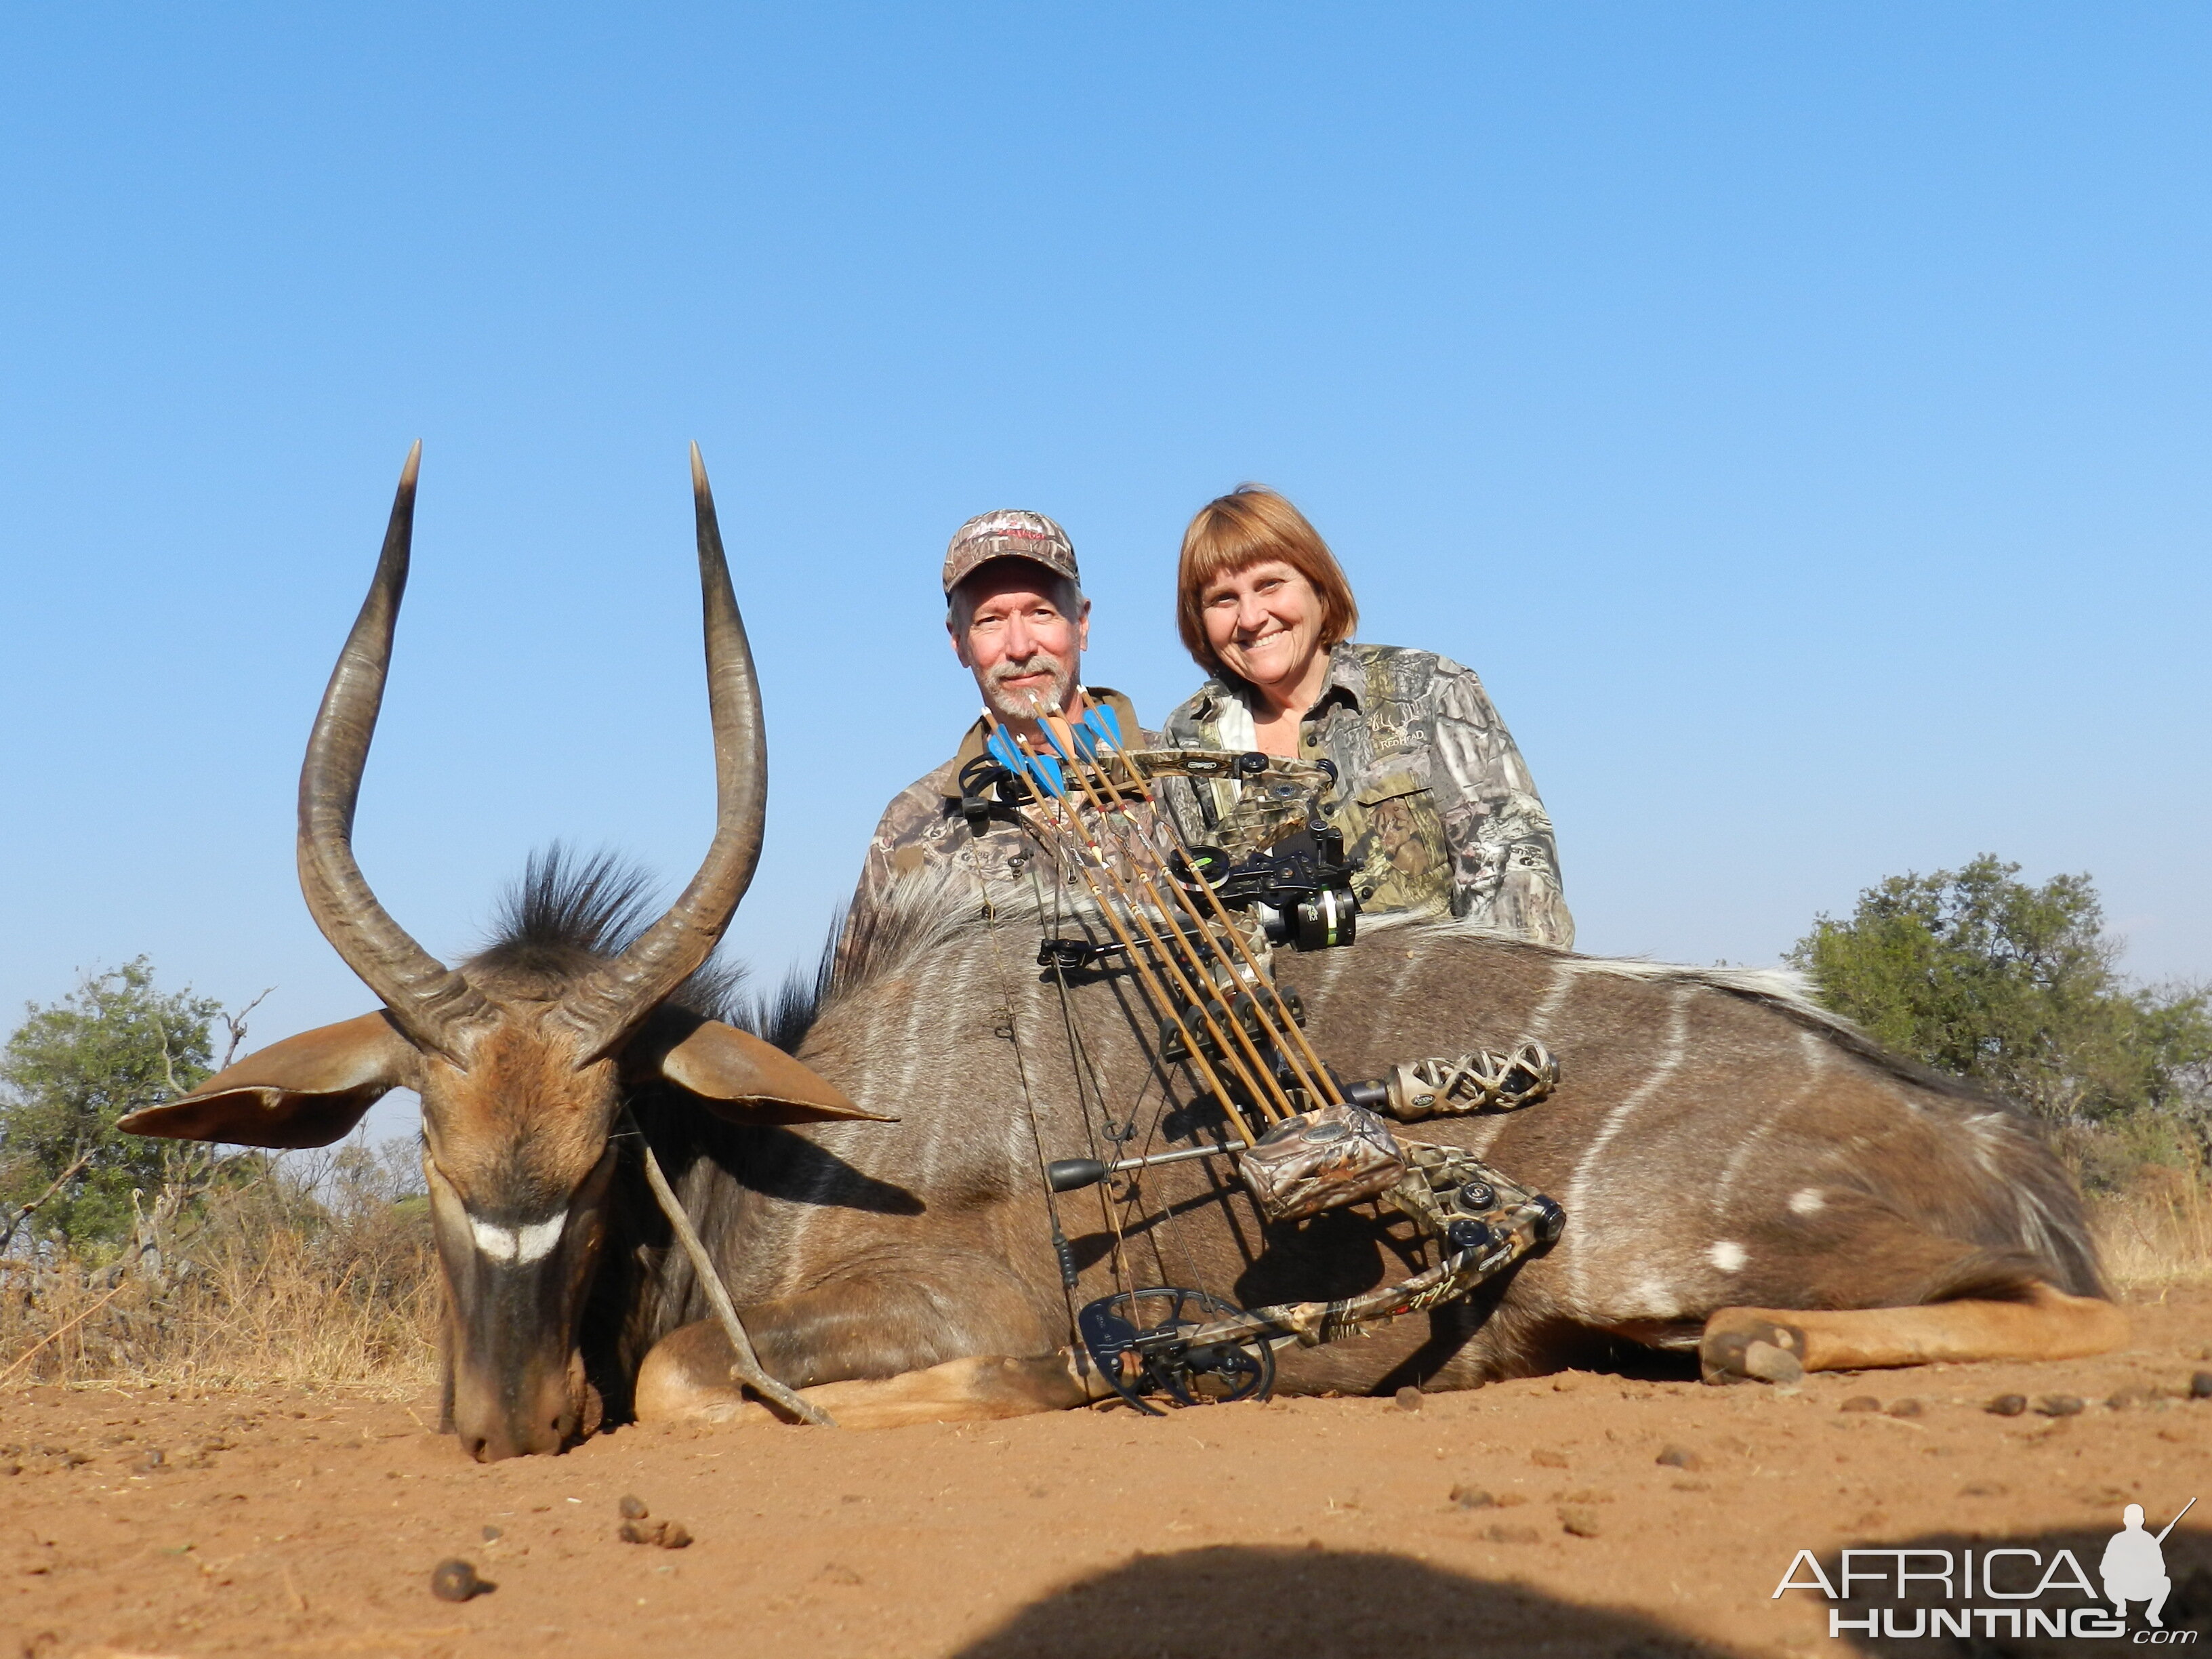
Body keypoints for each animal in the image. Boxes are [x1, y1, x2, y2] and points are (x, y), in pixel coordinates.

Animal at [129, 449, 2132, 1460]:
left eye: (615, 1140)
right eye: (426, 1144)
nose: (501, 1423)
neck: (777, 1153)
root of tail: (2007, 1151)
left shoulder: (915, 1309)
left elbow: (713, 1383)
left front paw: (1070, 1384)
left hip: (1654, 1258)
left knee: (2043, 1317)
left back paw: (1763, 1345)